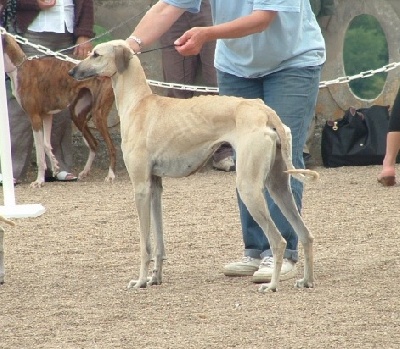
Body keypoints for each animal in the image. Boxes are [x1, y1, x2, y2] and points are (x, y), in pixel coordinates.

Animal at [1, 32, 116, 188]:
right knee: (94, 143)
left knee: (112, 147)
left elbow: (40, 154)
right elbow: (46, 145)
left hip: (98, 115)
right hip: (78, 115)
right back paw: (85, 172)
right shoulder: (46, 116)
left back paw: (111, 175)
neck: (19, 67)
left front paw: (39, 181)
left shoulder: (34, 117)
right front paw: (55, 166)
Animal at [69, 39, 318, 292]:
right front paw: (155, 277)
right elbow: (159, 242)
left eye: (95, 54)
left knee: (279, 240)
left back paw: (271, 284)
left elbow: (144, 244)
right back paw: (306, 280)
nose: (72, 71)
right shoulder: (155, 187)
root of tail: (263, 110)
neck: (139, 103)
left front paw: (141, 281)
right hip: (278, 186)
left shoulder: (140, 187)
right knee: (306, 235)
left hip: (249, 186)